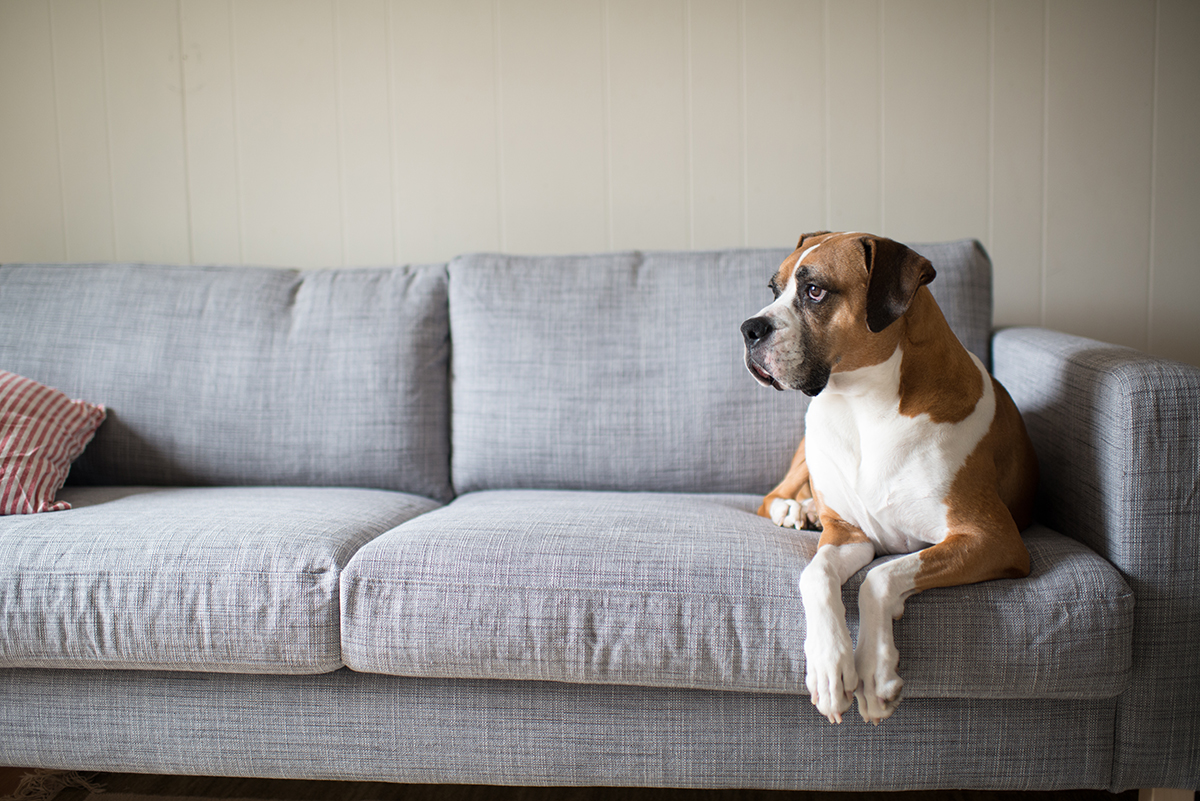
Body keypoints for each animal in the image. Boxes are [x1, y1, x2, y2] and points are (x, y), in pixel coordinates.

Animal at [734, 231, 1036, 724]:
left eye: (814, 291)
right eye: (773, 290)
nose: (749, 328)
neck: (862, 404)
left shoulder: (992, 539)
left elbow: (880, 577)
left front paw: (873, 674)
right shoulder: (847, 534)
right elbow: (814, 575)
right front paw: (829, 666)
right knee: (773, 496)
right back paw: (796, 509)